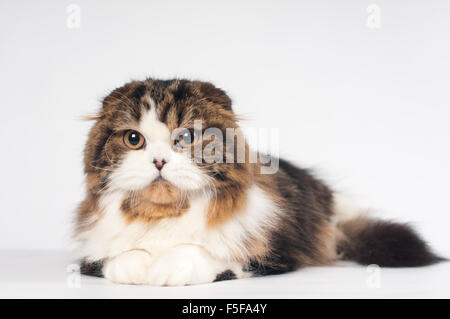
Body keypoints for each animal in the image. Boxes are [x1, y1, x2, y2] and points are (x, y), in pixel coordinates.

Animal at [74, 79, 442, 286]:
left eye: (186, 138)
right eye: (134, 139)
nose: (159, 162)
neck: (166, 217)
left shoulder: (273, 256)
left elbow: (199, 254)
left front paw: (165, 272)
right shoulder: (90, 259)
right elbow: (121, 257)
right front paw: (138, 270)